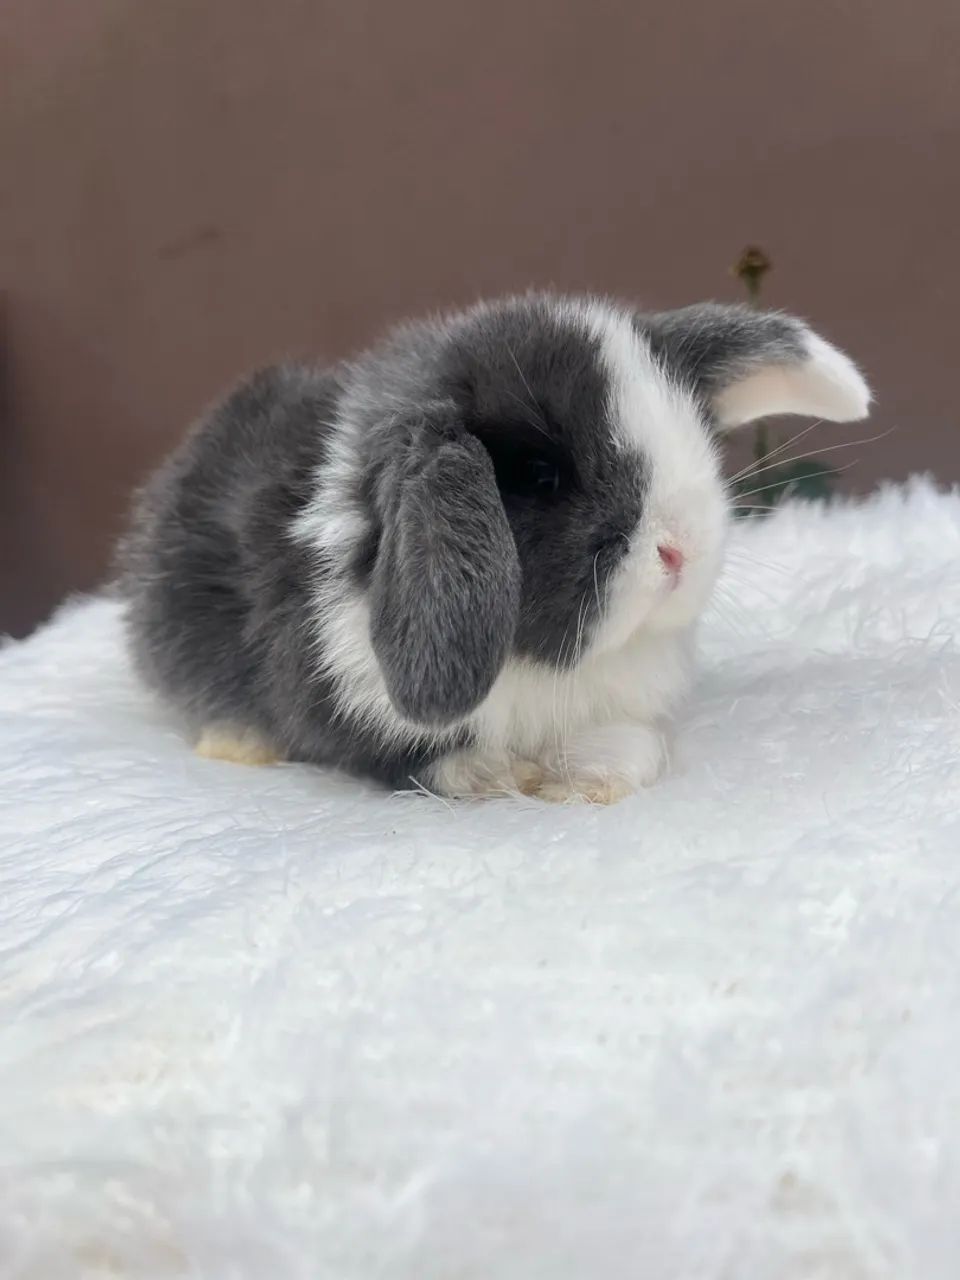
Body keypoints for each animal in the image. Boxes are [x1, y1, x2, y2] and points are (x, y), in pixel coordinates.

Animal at [117, 293, 870, 803]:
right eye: (541, 476)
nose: (682, 549)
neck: (540, 669)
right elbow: (410, 760)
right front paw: (498, 774)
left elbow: (632, 744)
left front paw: (598, 774)